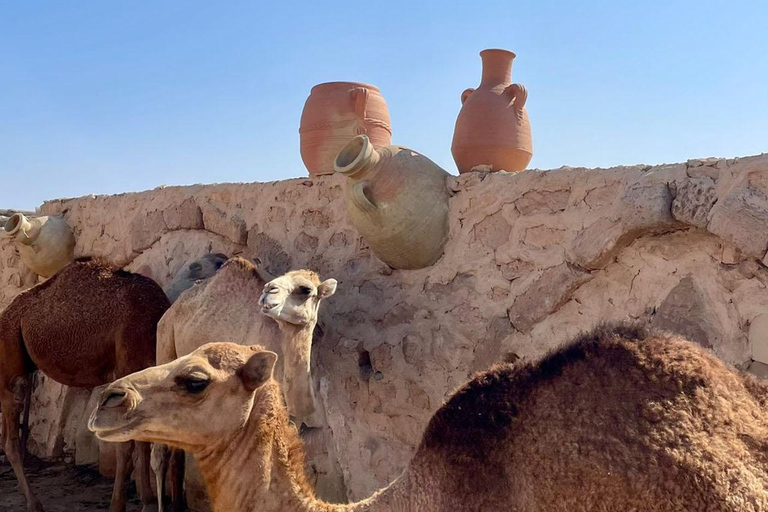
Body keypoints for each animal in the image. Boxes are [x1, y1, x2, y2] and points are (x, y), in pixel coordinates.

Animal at [0, 258, 170, 512]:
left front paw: (146, 499)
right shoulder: (128, 366)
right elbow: (125, 444)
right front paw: (120, 504)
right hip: (10, 359)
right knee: (11, 436)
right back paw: (34, 503)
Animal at [153, 258, 336, 510]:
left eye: (305, 289)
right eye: (280, 277)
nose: (269, 290)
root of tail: (171, 310)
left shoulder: (290, 417)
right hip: (165, 342)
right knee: (159, 452)